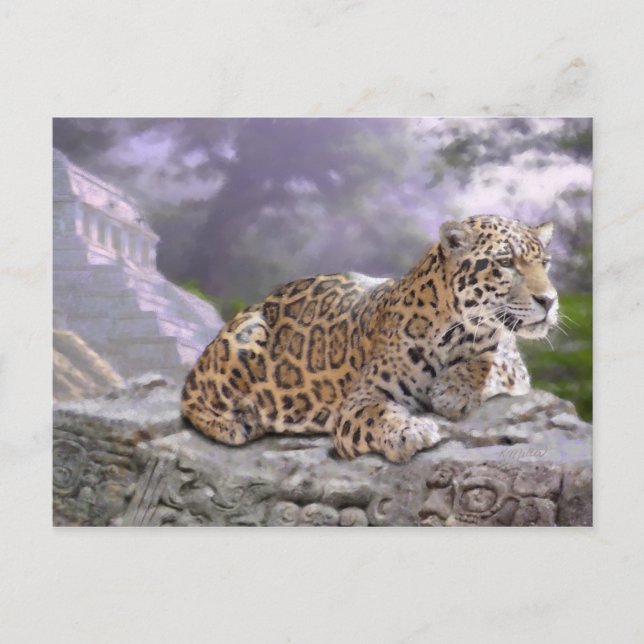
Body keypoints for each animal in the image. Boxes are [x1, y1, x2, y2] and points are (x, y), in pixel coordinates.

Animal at [182, 214, 558, 463]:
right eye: (505, 262)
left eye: (545, 263)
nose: (550, 300)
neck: (460, 330)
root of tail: (262, 300)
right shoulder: (361, 399)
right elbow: (378, 415)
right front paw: (410, 431)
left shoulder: (513, 361)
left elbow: (491, 362)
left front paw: (453, 390)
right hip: (243, 335)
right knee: (193, 398)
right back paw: (238, 422)